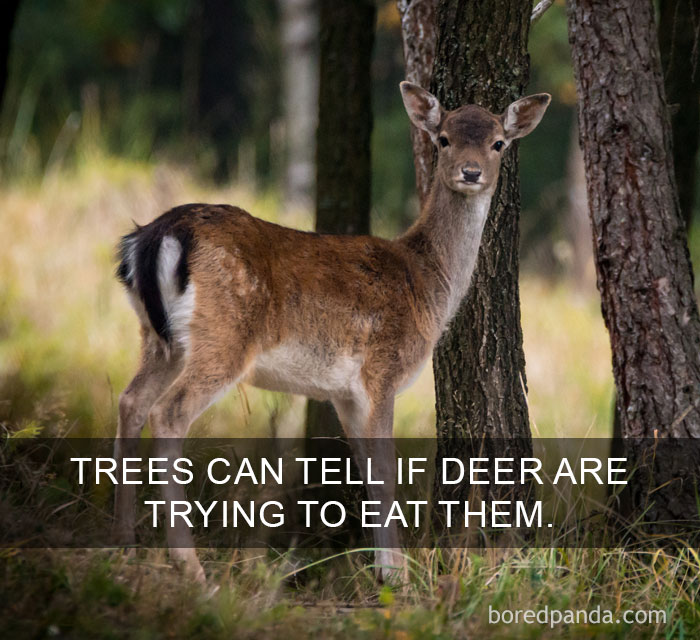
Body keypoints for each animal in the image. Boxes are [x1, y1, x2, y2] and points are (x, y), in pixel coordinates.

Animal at [112, 82, 550, 584]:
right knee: (169, 413)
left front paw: (383, 567)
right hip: (224, 337)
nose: (471, 171)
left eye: (498, 142)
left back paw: (123, 548)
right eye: (443, 139)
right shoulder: (382, 369)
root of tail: (153, 237)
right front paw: (396, 576)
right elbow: (385, 469)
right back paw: (190, 566)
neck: (428, 283)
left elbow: (365, 470)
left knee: (131, 401)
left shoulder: (343, 392)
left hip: (159, 340)